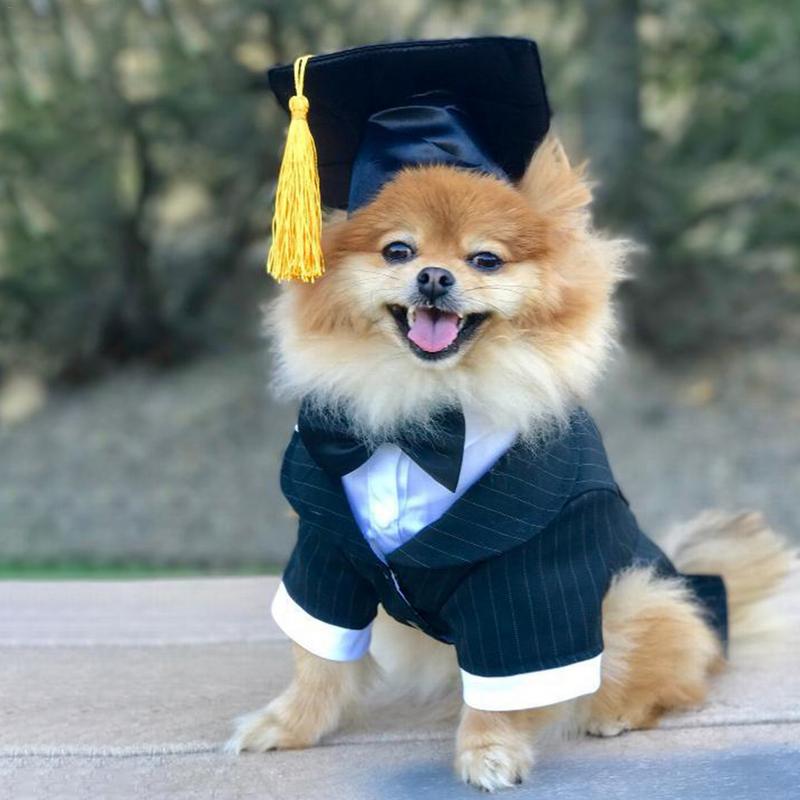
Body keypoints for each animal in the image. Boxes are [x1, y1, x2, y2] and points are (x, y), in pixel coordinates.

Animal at [225, 134, 792, 792]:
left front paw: (488, 752)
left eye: (486, 261)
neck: (425, 417)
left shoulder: (528, 575)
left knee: (676, 674)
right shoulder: (328, 547)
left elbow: (504, 682)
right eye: (399, 250)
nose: (434, 276)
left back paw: (618, 713)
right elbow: (318, 660)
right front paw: (286, 725)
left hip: (634, 597)